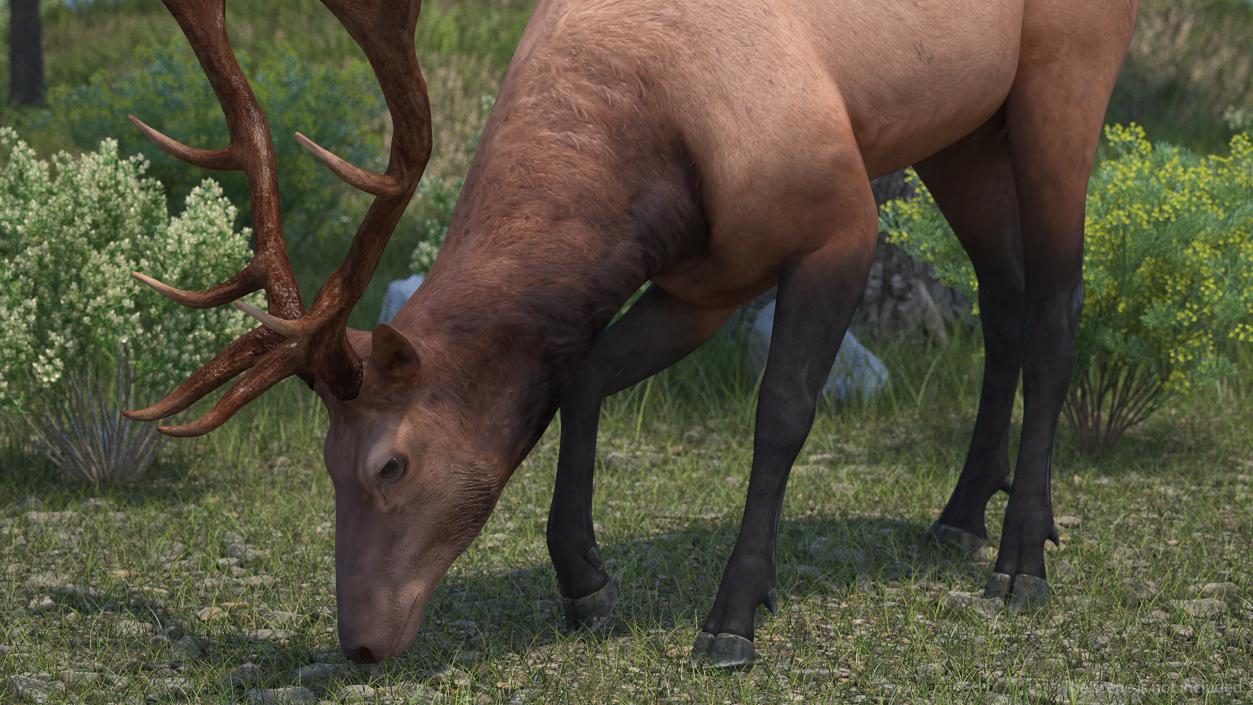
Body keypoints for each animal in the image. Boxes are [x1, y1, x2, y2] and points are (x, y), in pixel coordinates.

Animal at [129, 0, 1147, 666]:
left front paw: (731, 617)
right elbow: (579, 375)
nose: (360, 642)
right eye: (325, 464)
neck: (641, 178)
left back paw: (1018, 561)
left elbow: (781, 412)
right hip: (960, 128)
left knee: (1056, 303)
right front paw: (585, 581)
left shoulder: (838, 219)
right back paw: (966, 514)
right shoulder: (702, 276)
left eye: (391, 462)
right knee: (1003, 297)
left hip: (1065, 71)